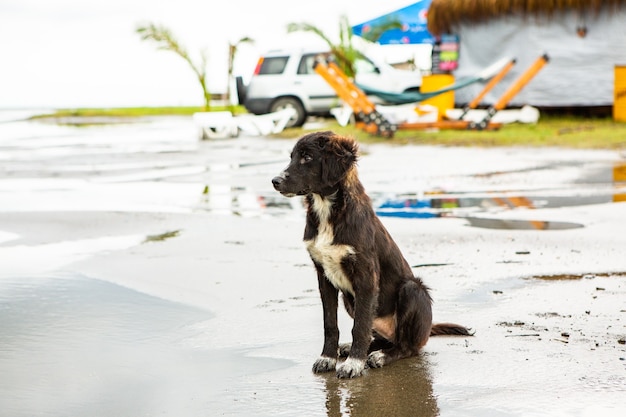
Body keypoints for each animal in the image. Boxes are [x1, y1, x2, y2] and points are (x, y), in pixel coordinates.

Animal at [270, 131, 468, 376]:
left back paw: (381, 356)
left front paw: (353, 364)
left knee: (407, 347)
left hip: (413, 290)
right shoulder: (323, 276)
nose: (275, 181)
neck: (328, 210)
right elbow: (330, 323)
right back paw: (352, 349)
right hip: (349, 300)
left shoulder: (365, 276)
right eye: (292, 157)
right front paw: (327, 357)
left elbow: (360, 326)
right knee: (382, 338)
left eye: (307, 157)